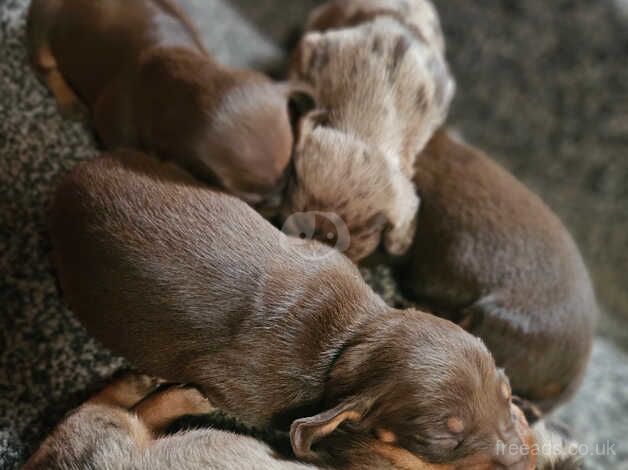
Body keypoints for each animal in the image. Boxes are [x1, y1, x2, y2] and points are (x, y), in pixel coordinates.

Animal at [26, 0, 312, 207]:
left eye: (289, 172)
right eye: (250, 200)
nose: (279, 206)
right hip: (43, 27)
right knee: (46, 67)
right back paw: (69, 100)